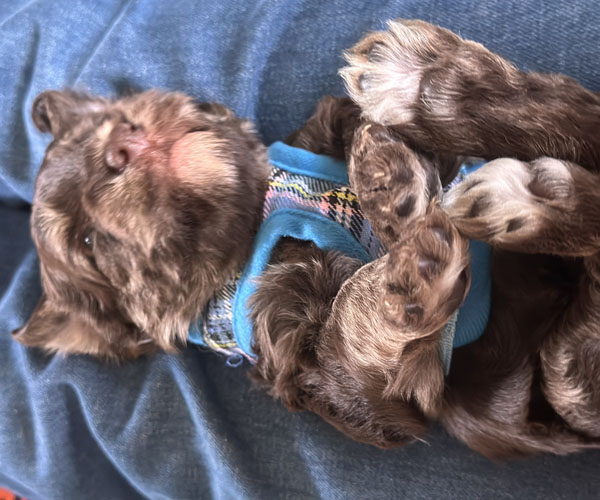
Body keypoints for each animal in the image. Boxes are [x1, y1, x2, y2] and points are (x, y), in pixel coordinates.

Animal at [15, 20, 600, 459]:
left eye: (109, 120)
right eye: (88, 243)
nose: (119, 146)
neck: (260, 209)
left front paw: (393, 158)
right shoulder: (345, 389)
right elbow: (354, 316)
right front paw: (409, 252)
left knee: (572, 116)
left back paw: (421, 82)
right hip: (566, 382)